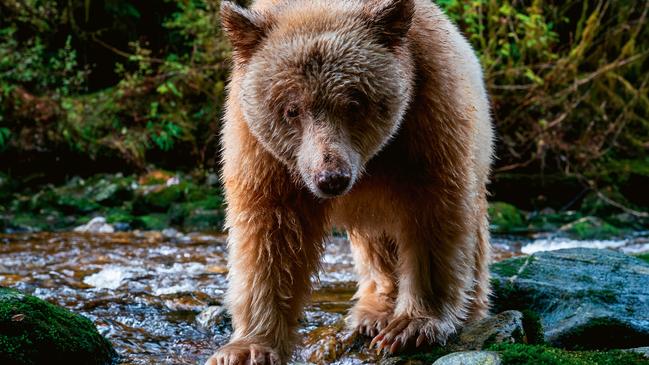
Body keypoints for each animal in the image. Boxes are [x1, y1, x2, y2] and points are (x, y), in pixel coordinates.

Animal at [208, 0, 492, 362]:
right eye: (291, 109)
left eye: (354, 103)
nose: (331, 177)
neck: (373, 161)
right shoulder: (262, 153)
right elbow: (270, 236)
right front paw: (247, 348)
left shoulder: (429, 117)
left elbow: (434, 216)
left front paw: (412, 326)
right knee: (376, 244)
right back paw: (374, 311)